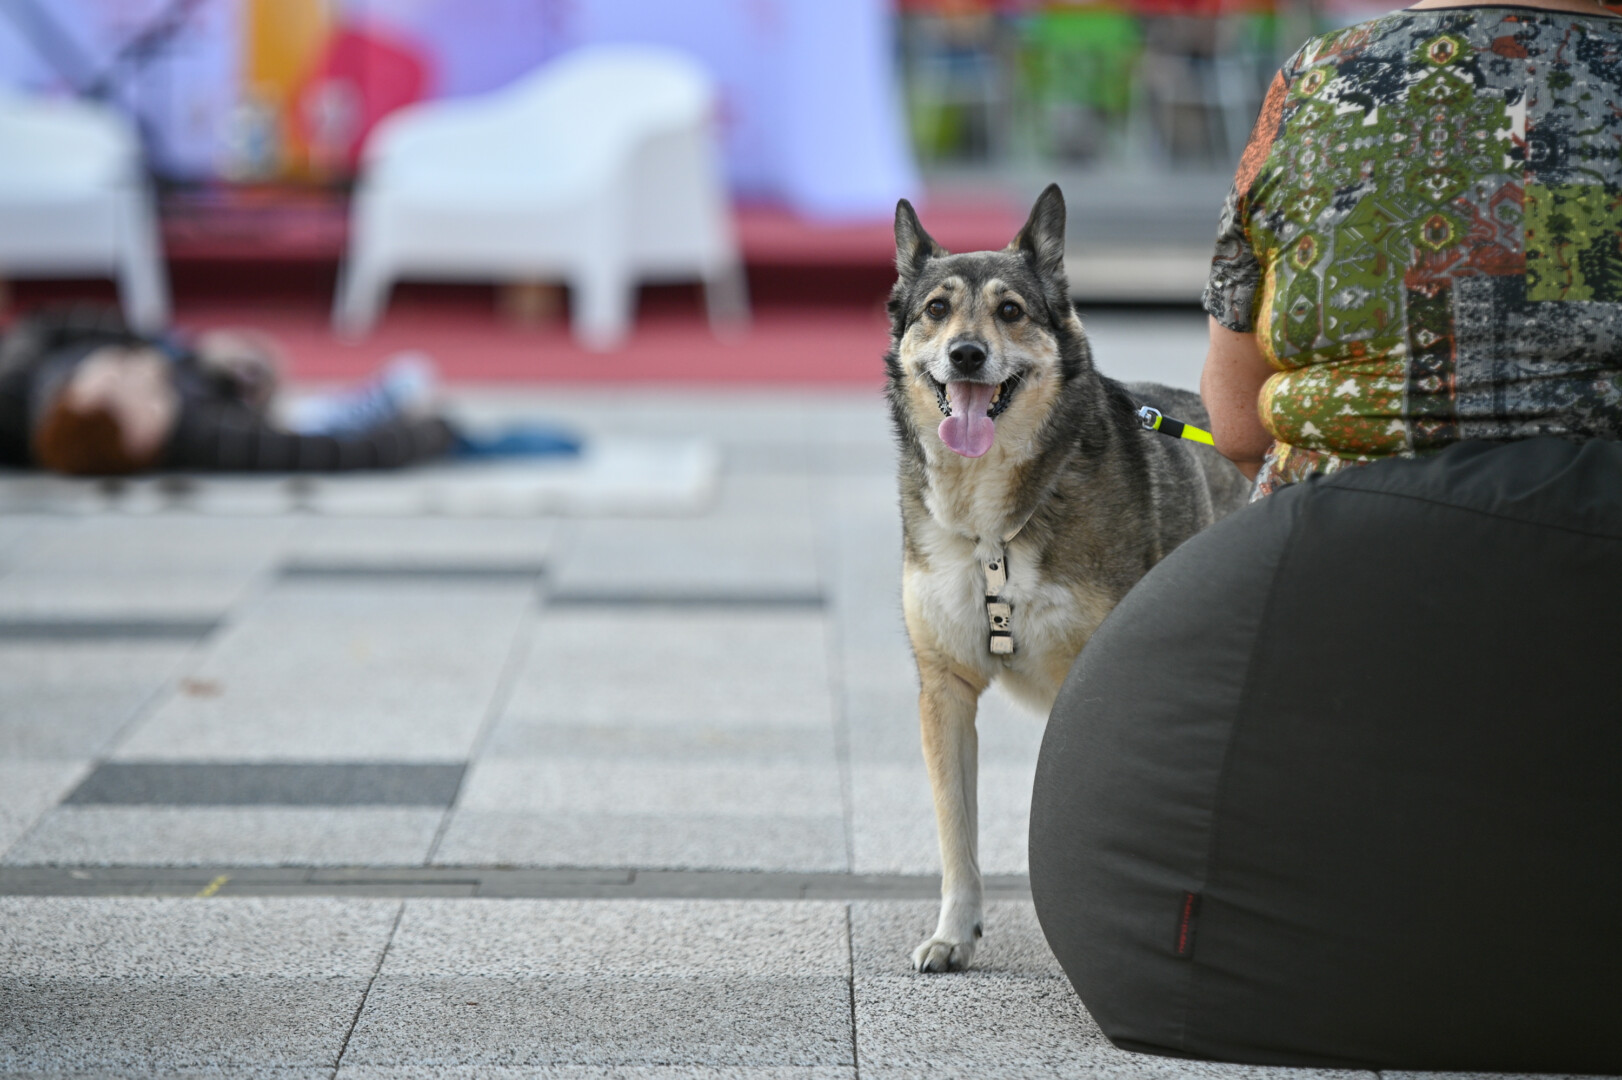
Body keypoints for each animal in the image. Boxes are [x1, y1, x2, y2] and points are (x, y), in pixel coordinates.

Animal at [886, 184, 1250, 972]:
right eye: (937, 309)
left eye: (1011, 311)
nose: (966, 353)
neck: (993, 523)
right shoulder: (945, 689)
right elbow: (956, 832)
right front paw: (955, 934)